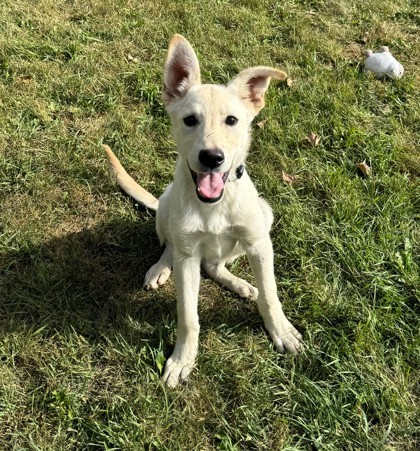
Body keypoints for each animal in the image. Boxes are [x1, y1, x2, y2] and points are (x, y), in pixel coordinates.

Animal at [105, 35, 302, 388]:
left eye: (232, 121)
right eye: (190, 120)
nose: (212, 157)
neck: (214, 205)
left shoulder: (259, 244)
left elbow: (269, 294)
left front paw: (280, 330)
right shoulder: (187, 260)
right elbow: (188, 316)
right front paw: (183, 359)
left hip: (264, 214)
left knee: (215, 265)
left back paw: (240, 284)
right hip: (167, 207)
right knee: (174, 248)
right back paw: (160, 268)